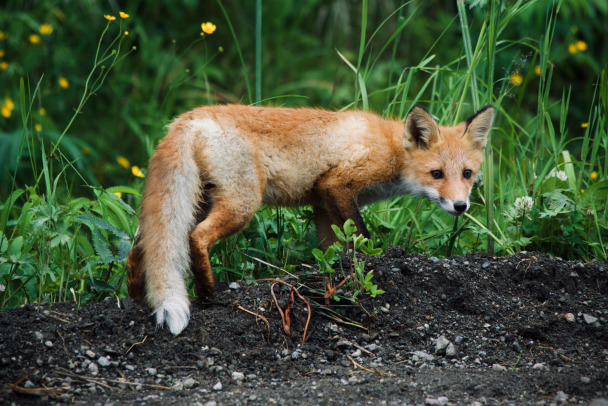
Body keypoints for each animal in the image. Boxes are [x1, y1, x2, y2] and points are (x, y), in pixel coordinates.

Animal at [127, 103, 494, 334]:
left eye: (467, 173)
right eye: (437, 174)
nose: (461, 206)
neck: (390, 148)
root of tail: (188, 118)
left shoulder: (321, 204)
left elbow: (332, 248)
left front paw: (334, 277)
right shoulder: (337, 184)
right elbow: (362, 236)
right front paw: (368, 263)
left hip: (197, 202)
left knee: (142, 249)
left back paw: (136, 299)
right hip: (241, 204)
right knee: (196, 238)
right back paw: (208, 293)